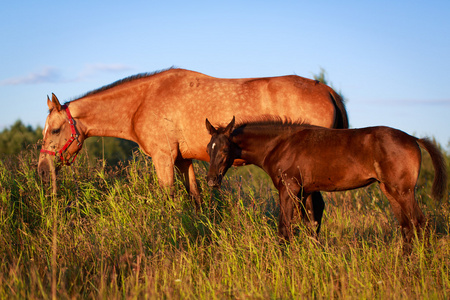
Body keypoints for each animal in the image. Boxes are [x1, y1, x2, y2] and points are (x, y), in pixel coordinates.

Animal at [38, 67, 348, 213]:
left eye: (54, 130)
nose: (42, 169)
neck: (142, 102)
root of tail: (328, 91)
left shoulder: (164, 159)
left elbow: (168, 198)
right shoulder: (182, 161)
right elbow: (195, 200)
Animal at [206, 116, 448, 245]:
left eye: (225, 149)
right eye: (209, 148)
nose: (211, 181)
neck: (281, 144)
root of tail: (413, 138)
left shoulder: (288, 190)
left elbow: (284, 229)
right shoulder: (306, 192)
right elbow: (310, 226)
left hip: (403, 191)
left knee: (419, 223)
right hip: (389, 190)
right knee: (406, 226)